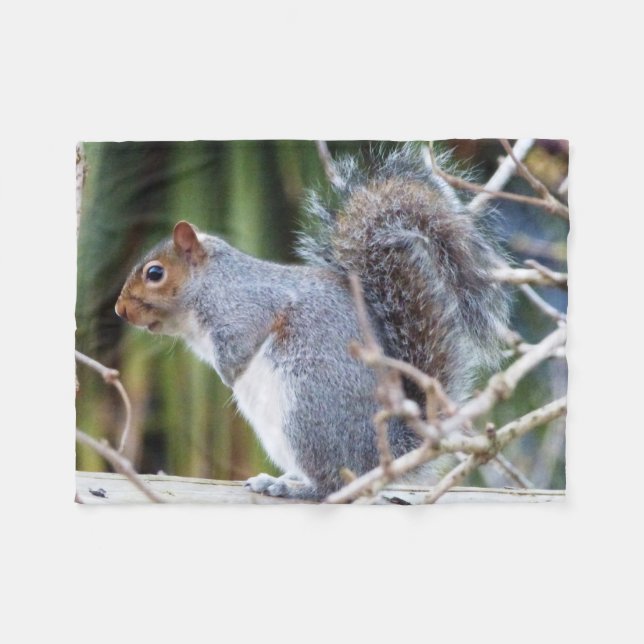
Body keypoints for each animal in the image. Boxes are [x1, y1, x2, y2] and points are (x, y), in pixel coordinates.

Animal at [115, 145, 509, 500]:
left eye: (155, 273)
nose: (120, 310)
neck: (209, 285)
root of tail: (381, 457)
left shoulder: (244, 309)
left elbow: (240, 347)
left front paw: (229, 374)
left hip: (306, 409)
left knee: (333, 484)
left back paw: (291, 487)